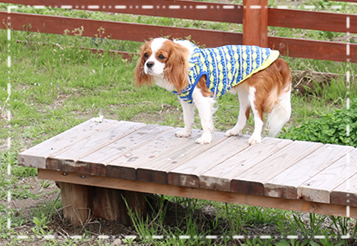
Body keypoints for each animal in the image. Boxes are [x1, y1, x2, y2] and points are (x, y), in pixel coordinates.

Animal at [132, 37, 290, 145]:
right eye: (146, 55)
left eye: (161, 56)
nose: (149, 64)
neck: (182, 63)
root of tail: (277, 59)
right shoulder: (186, 99)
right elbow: (187, 118)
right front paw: (186, 133)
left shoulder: (202, 97)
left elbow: (205, 120)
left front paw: (205, 138)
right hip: (244, 93)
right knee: (244, 115)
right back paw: (235, 131)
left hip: (255, 94)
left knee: (259, 118)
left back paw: (255, 138)